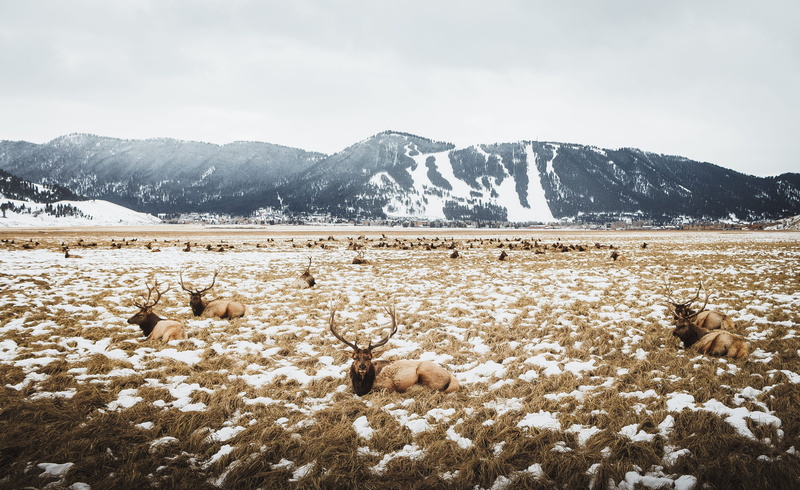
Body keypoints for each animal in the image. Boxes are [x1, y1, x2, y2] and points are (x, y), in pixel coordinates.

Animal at [329, 302, 459, 396]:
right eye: (355, 358)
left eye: (369, 357)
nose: (362, 366)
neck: (361, 388)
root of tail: (453, 378)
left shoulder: (387, 385)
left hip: (425, 372)